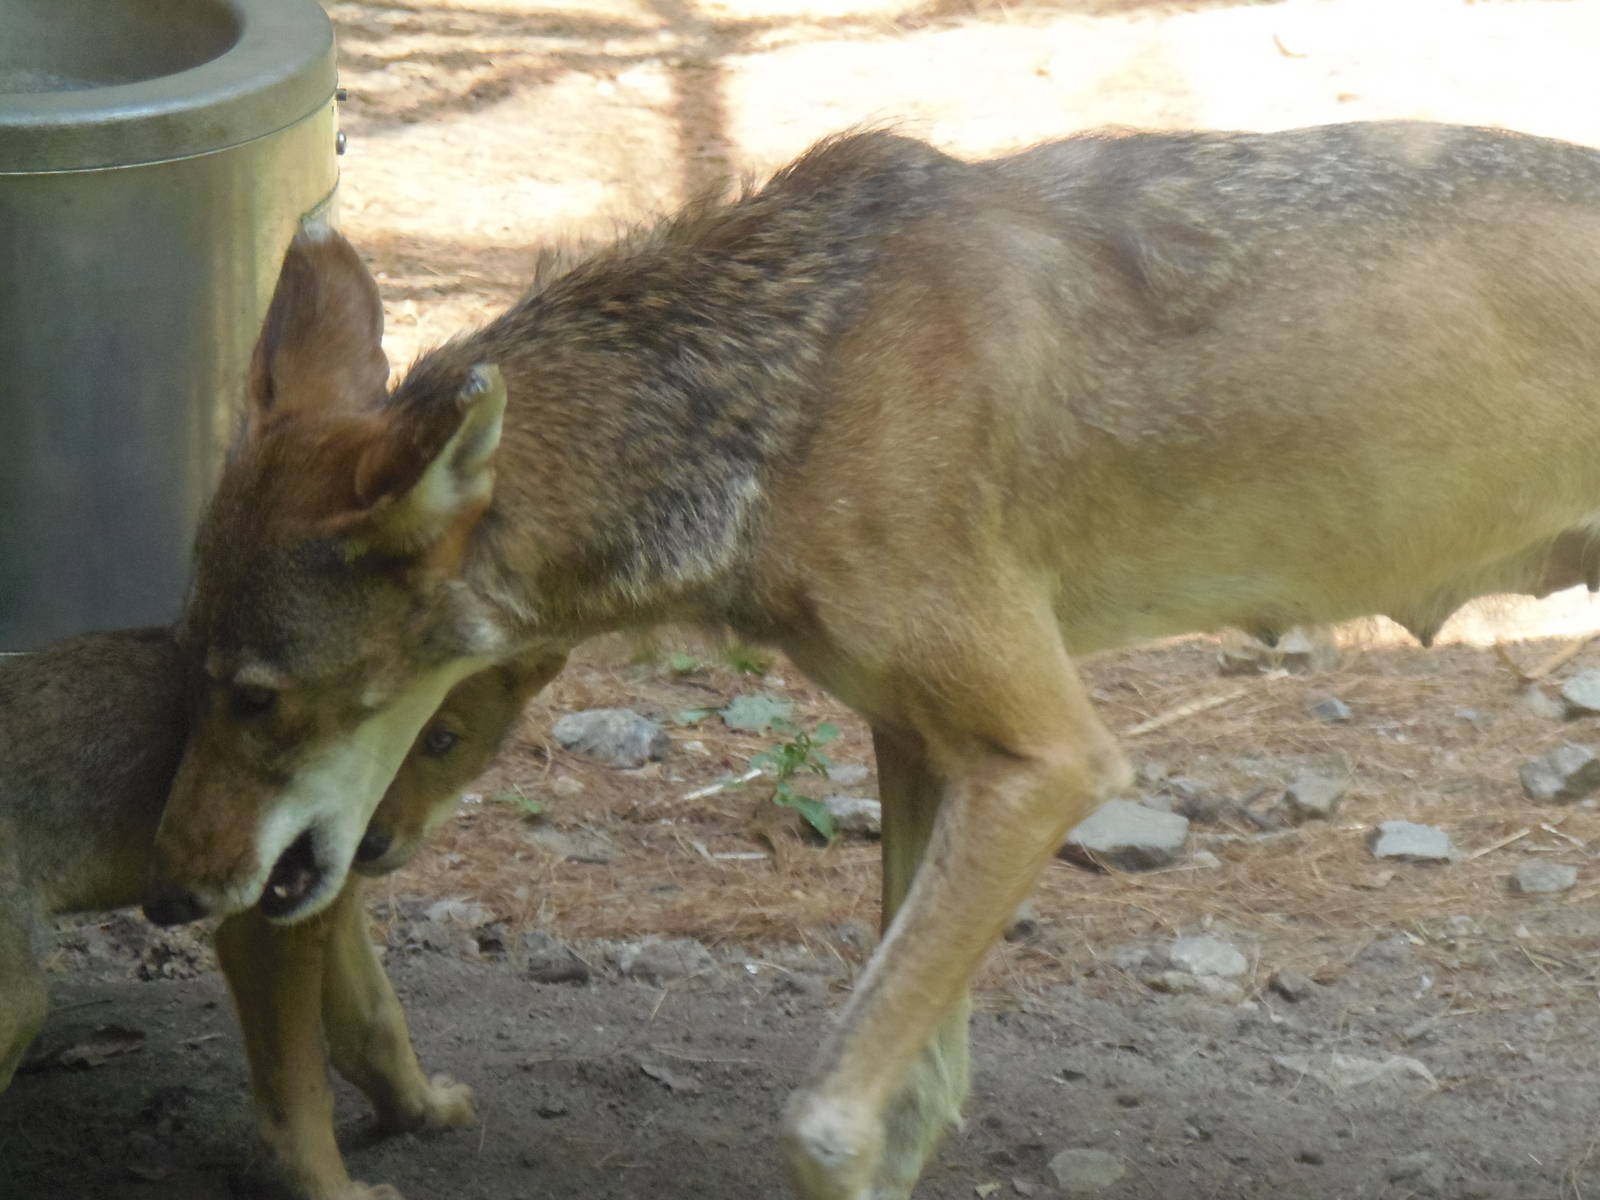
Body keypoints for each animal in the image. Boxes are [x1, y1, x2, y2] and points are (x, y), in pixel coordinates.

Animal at [145, 121, 1600, 1197]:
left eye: (256, 698)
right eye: (192, 670)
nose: (169, 891)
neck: (789, 392)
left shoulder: (1047, 762)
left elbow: (829, 1119)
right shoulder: (922, 746)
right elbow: (919, 1093)